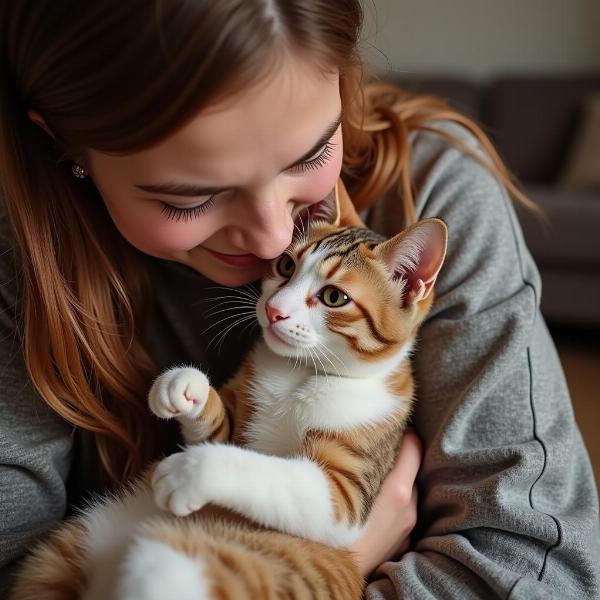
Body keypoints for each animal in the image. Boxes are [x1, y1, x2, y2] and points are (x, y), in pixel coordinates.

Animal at [11, 191, 448, 600]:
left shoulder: (346, 496)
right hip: (69, 546)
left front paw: (191, 471)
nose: (274, 310)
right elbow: (219, 434)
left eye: (334, 298)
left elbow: (280, 476)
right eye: (285, 266)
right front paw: (185, 387)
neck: (300, 373)